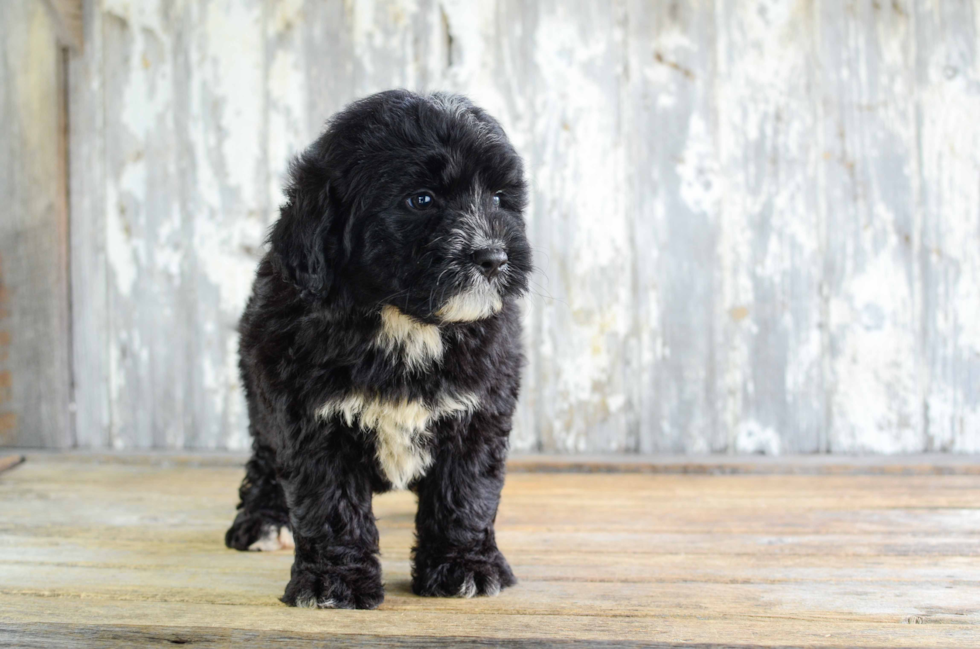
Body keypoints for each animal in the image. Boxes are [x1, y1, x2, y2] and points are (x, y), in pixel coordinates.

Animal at [225, 90, 532, 608]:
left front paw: (464, 566)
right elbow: (329, 501)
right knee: (265, 456)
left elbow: (466, 492)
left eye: (497, 198)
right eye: (421, 199)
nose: (493, 257)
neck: (406, 323)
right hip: (259, 388)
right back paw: (263, 520)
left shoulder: (480, 411)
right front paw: (334, 582)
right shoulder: (309, 417)